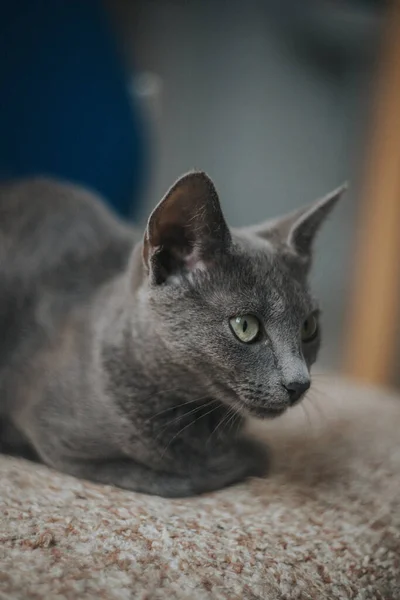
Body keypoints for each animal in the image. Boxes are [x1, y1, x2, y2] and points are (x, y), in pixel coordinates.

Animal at [0, 172, 346, 496]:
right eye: (245, 326)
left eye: (309, 327)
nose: (299, 383)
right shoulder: (58, 440)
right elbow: (184, 477)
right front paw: (241, 456)